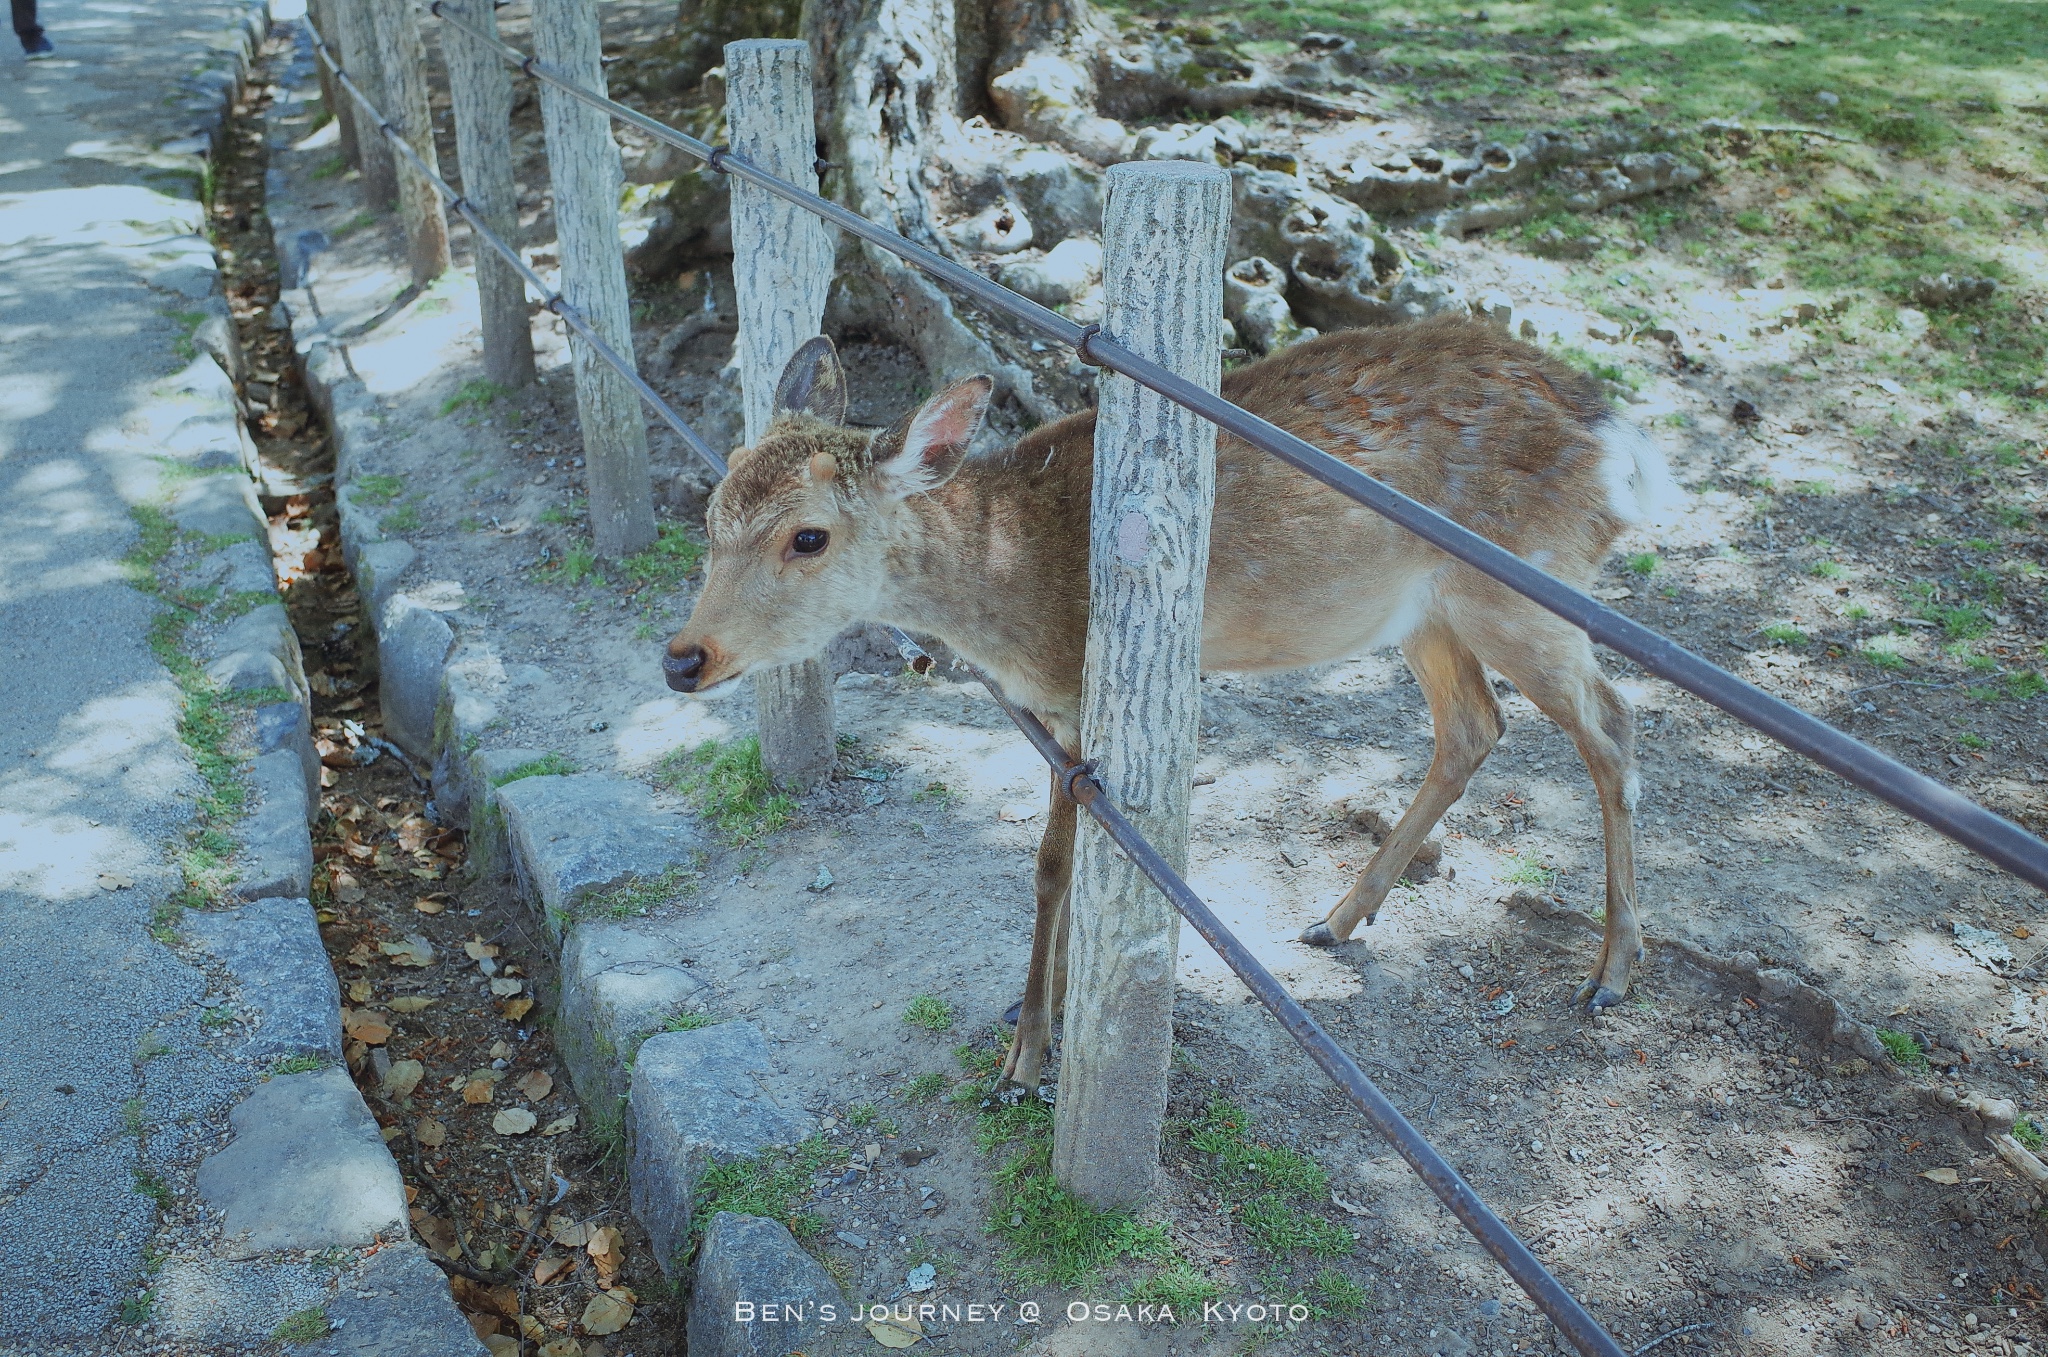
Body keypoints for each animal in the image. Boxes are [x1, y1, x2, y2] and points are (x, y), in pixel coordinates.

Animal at [663, 319, 1671, 1097]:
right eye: (711, 514)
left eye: (809, 537)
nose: (684, 657)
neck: (1011, 600)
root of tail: (1626, 448)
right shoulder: (1051, 712)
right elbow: (1057, 865)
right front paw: (1034, 1015)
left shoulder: (1082, 691)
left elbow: (1053, 867)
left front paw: (1027, 1056)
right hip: (1426, 613)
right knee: (1475, 724)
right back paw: (1337, 918)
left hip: (1526, 590)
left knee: (1614, 722)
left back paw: (1614, 973)